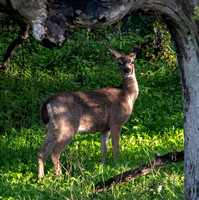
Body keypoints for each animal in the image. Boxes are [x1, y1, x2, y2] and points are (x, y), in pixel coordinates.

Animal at [37, 45, 140, 180]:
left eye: (132, 61)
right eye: (119, 62)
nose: (127, 70)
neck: (127, 96)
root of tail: (47, 103)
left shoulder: (104, 128)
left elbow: (104, 149)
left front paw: (102, 167)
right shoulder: (116, 122)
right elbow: (115, 147)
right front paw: (117, 165)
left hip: (52, 128)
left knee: (41, 152)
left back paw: (41, 178)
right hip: (68, 125)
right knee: (55, 151)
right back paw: (60, 177)